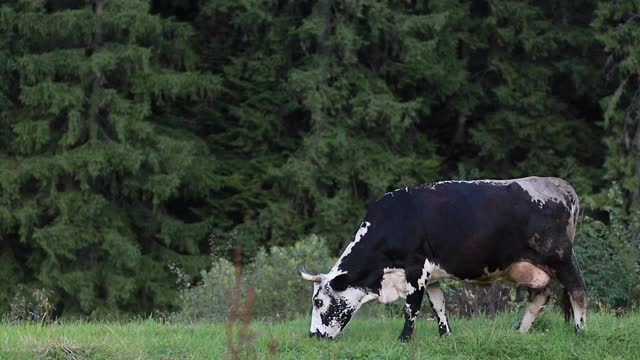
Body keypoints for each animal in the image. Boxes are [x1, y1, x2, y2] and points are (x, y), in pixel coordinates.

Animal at [298, 177, 588, 340]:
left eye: (318, 301)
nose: (313, 336)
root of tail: (562, 186)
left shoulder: (415, 268)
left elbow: (411, 307)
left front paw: (403, 339)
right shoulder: (432, 274)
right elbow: (438, 305)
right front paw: (445, 335)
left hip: (560, 258)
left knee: (577, 290)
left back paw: (580, 331)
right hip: (537, 268)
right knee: (540, 296)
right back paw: (520, 333)